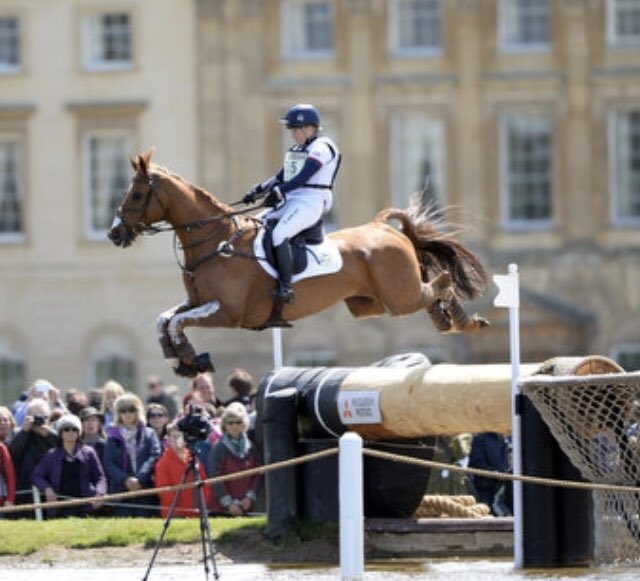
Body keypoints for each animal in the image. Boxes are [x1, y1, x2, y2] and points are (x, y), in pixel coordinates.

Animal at [108, 149, 489, 377]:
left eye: (137, 194)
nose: (114, 233)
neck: (216, 241)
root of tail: (380, 225)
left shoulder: (228, 313)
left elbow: (177, 323)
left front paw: (189, 356)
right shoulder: (198, 302)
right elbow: (165, 319)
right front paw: (179, 360)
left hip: (399, 297)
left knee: (441, 281)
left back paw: (462, 321)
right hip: (371, 304)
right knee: (432, 288)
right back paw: (445, 320)